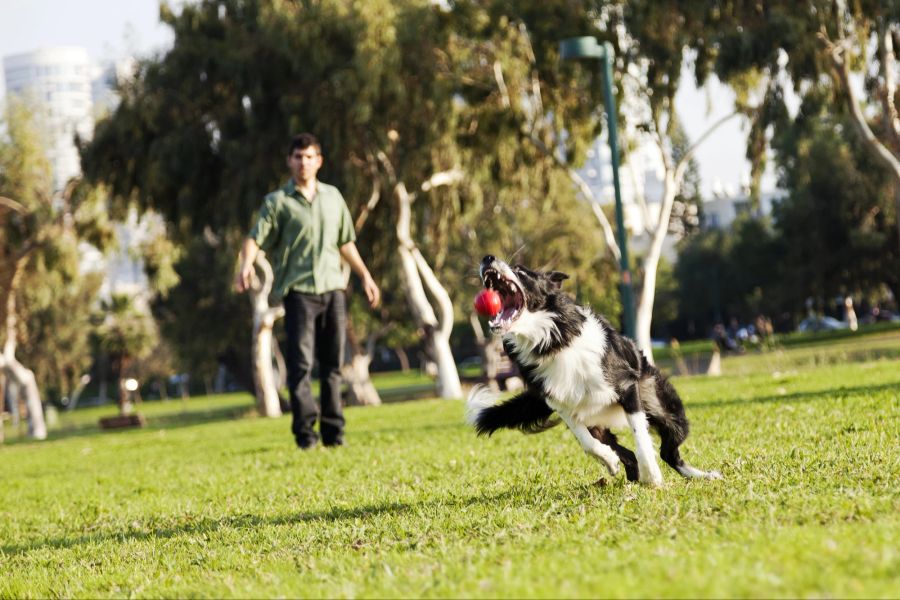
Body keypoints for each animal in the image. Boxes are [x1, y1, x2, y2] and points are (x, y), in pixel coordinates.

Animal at [468, 255, 720, 486]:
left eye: (520, 270)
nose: (487, 258)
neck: (552, 341)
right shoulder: (562, 403)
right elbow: (587, 442)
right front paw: (609, 460)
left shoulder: (627, 387)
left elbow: (640, 436)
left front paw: (653, 476)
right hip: (597, 421)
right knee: (626, 452)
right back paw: (630, 478)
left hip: (664, 407)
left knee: (668, 451)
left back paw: (702, 475)